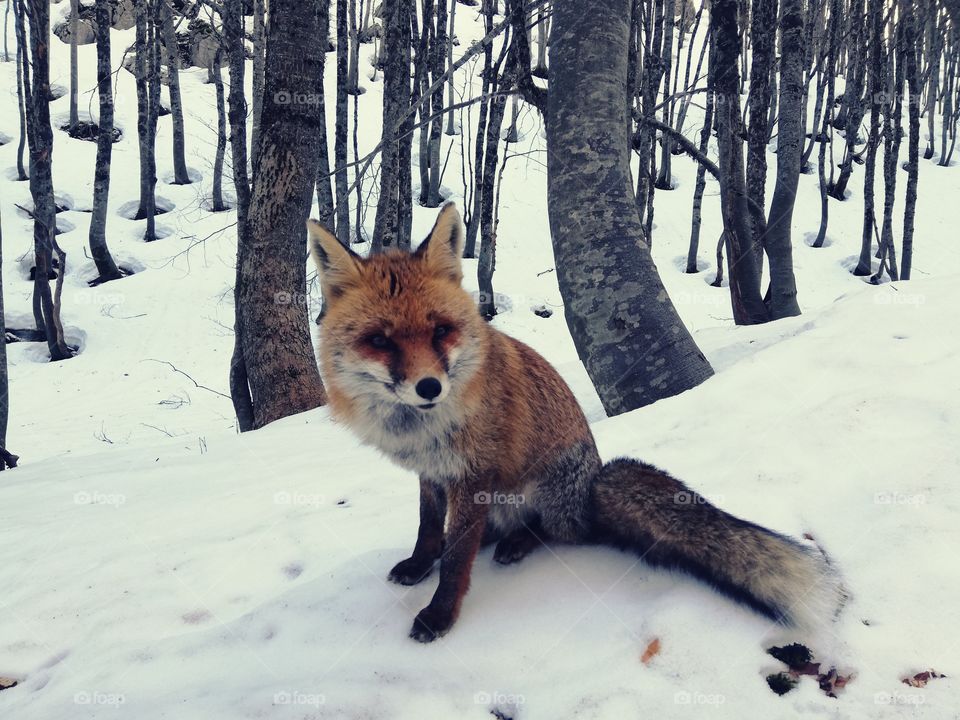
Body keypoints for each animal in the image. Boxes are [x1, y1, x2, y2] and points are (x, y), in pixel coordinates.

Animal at [307, 203, 845, 643]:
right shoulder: (433, 473)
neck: (423, 430)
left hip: (541, 488)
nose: (429, 388)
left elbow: (457, 560)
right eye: (380, 340)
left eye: (441, 330)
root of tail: (590, 488)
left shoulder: (472, 475)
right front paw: (422, 563)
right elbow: (427, 529)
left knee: (552, 531)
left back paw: (518, 542)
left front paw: (440, 615)